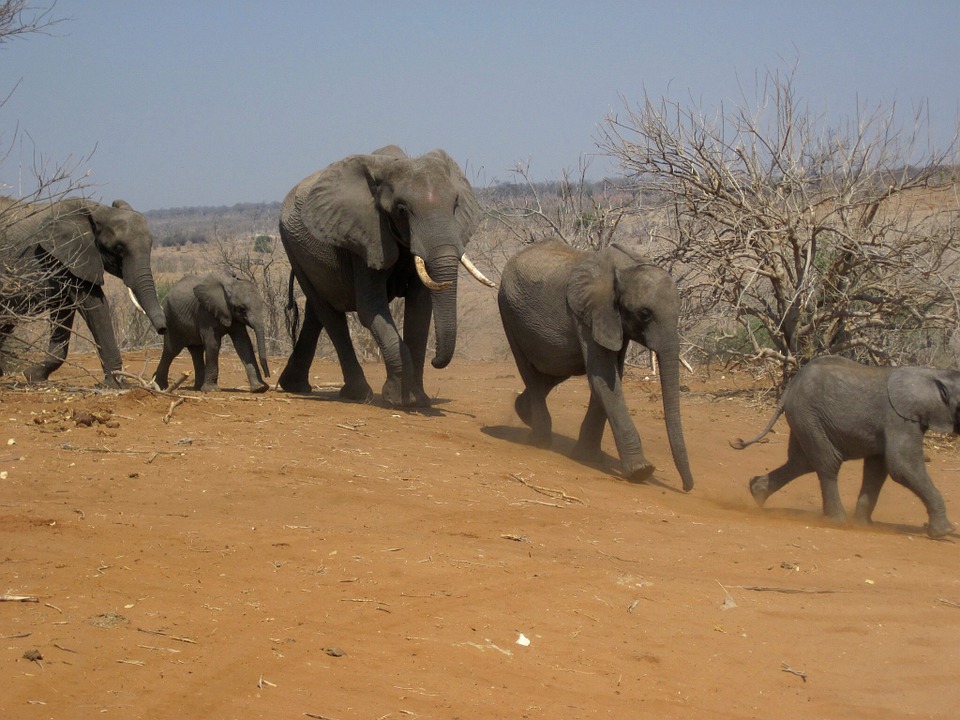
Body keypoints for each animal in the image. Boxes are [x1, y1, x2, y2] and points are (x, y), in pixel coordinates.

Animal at [0, 195, 167, 388]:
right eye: (118, 248)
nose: (163, 329)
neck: (98, 210)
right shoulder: (70, 256)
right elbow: (94, 305)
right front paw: (117, 384)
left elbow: (65, 310)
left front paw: (33, 375)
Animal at [274, 143, 492, 408]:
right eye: (401, 210)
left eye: (455, 206)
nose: (436, 362)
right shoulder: (365, 238)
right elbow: (371, 309)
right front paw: (397, 399)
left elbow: (420, 312)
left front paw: (418, 400)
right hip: (291, 246)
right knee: (329, 315)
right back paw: (358, 395)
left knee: (316, 313)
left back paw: (295, 386)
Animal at [498, 239, 692, 492]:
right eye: (644, 314)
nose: (687, 487)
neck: (626, 267)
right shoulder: (587, 315)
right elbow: (604, 380)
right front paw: (641, 471)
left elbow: (610, 378)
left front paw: (587, 458)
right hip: (507, 310)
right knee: (530, 371)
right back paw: (540, 441)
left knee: (556, 368)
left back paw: (523, 412)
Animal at [736, 358, 960, 536]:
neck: (935, 374)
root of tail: (789, 389)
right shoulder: (900, 419)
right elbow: (901, 466)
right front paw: (945, 532)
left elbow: (878, 469)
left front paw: (863, 525)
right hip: (809, 416)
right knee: (828, 462)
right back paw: (838, 521)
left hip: (804, 418)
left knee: (802, 462)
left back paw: (757, 492)